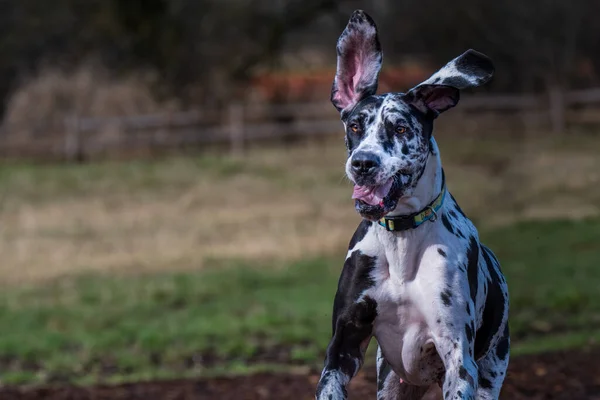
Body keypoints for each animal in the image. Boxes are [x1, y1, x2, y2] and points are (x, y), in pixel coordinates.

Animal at [316, 8, 508, 400]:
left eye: (401, 128)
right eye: (355, 126)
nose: (362, 163)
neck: (401, 241)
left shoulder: (458, 360)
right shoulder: (343, 345)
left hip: (491, 370)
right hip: (391, 381)